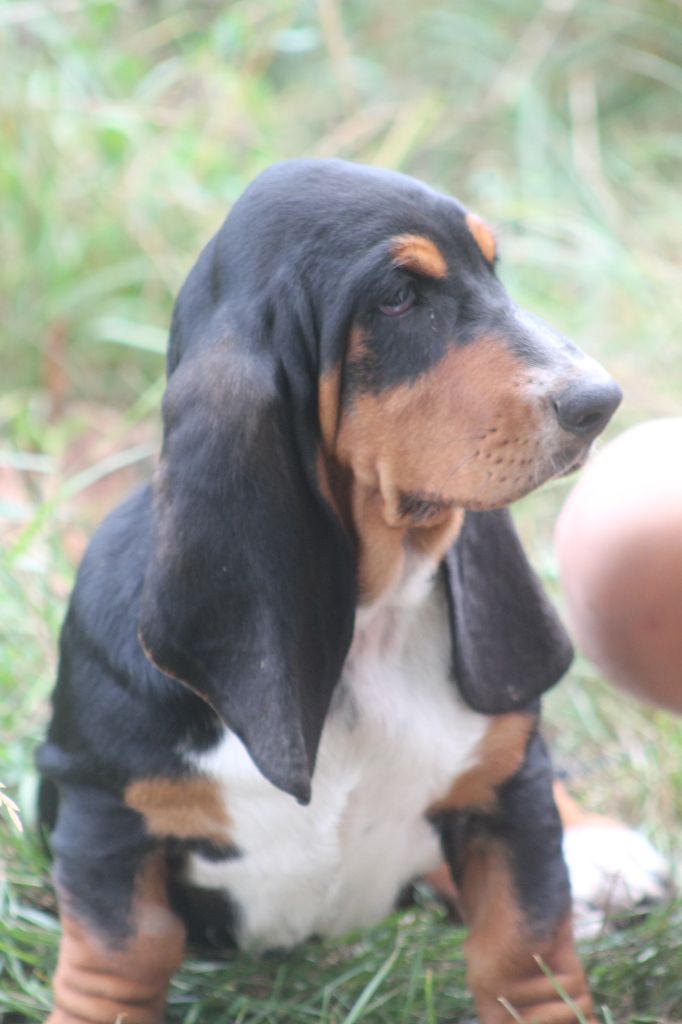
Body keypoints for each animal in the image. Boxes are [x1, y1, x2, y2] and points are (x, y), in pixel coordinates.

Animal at [38, 159, 628, 1024]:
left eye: (493, 266)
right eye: (398, 297)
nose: (600, 400)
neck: (372, 617)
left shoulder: (508, 800)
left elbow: (523, 946)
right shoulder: (103, 809)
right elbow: (121, 957)